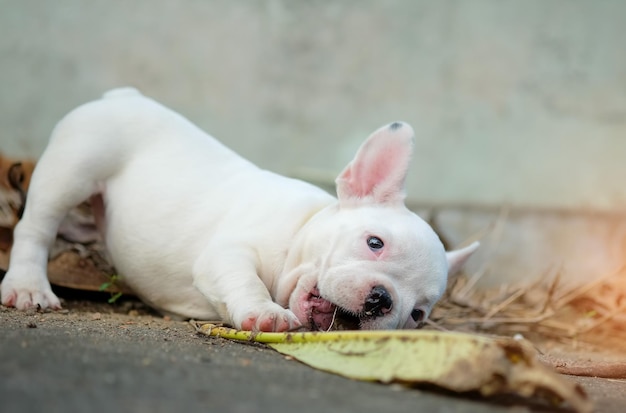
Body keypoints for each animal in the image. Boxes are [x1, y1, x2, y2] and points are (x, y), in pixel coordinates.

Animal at [1, 88, 478, 330]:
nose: (383, 300)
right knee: (35, 228)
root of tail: (120, 95)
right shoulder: (227, 255)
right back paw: (28, 286)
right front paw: (266, 313)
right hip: (72, 170)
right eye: (374, 242)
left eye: (417, 314)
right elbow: (245, 280)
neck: (300, 232)